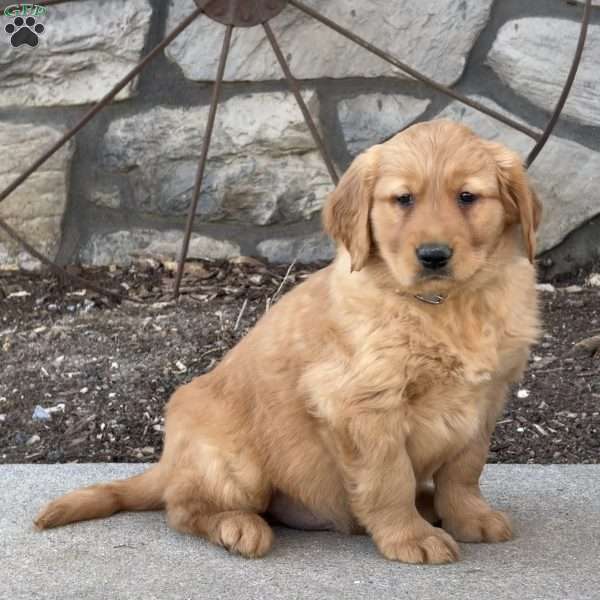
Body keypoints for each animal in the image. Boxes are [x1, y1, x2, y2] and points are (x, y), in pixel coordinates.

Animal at [35, 120, 540, 564]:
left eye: (467, 197)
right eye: (403, 199)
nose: (433, 255)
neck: (443, 306)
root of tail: (169, 461)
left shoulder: (486, 399)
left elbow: (465, 470)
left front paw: (469, 518)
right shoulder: (359, 404)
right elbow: (388, 478)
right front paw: (409, 537)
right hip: (237, 464)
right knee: (183, 508)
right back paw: (238, 526)